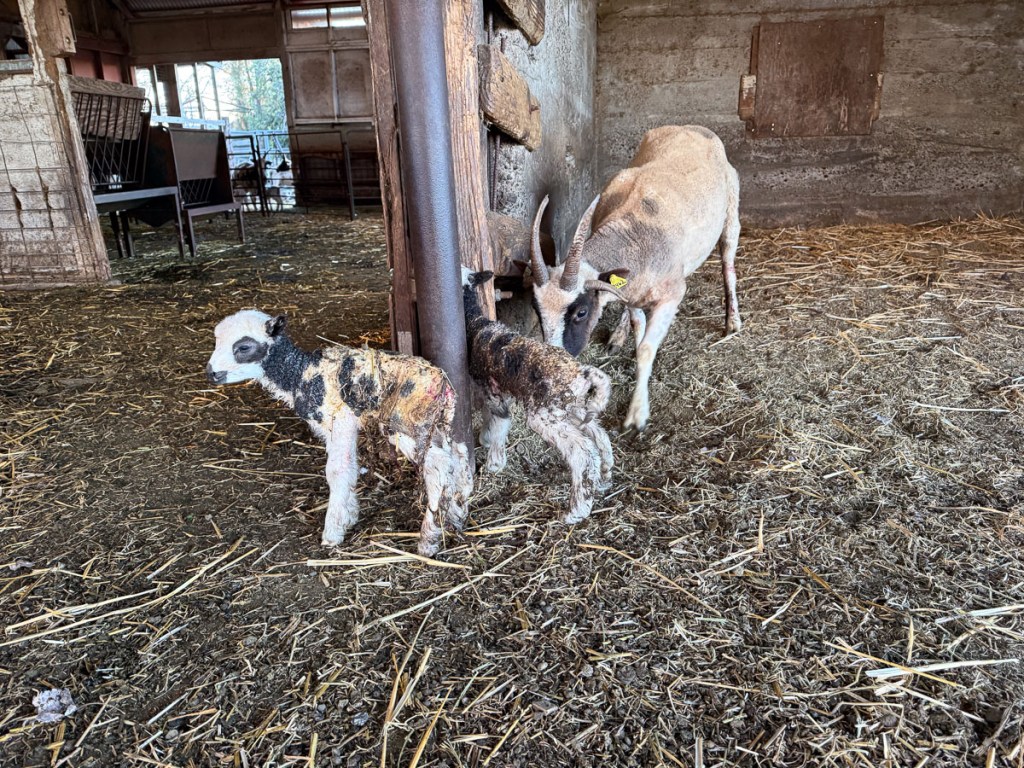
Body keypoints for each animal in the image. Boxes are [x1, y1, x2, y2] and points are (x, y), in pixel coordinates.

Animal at [206, 310, 473, 556]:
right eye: (216, 341)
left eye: (243, 346)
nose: (211, 372)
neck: (301, 374)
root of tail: (444, 385)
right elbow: (351, 466)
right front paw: (350, 514)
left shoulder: (341, 420)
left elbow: (337, 470)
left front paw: (333, 532)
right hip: (437, 425)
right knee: (457, 455)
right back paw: (458, 514)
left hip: (407, 425)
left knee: (437, 467)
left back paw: (428, 539)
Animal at [463, 269, 613, 525]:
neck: (475, 323)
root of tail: (582, 373)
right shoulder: (500, 389)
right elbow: (496, 419)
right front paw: (489, 444)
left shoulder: (491, 389)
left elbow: (499, 420)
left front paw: (494, 462)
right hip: (572, 407)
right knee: (600, 435)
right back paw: (604, 479)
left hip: (545, 415)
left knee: (582, 453)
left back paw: (576, 511)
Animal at [525, 125, 742, 432]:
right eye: (536, 309)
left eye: (581, 312)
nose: (555, 372)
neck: (634, 231)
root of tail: (692, 127)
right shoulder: (631, 293)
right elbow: (639, 334)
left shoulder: (672, 294)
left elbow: (647, 349)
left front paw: (637, 413)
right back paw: (618, 336)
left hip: (731, 212)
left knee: (728, 263)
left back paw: (732, 320)